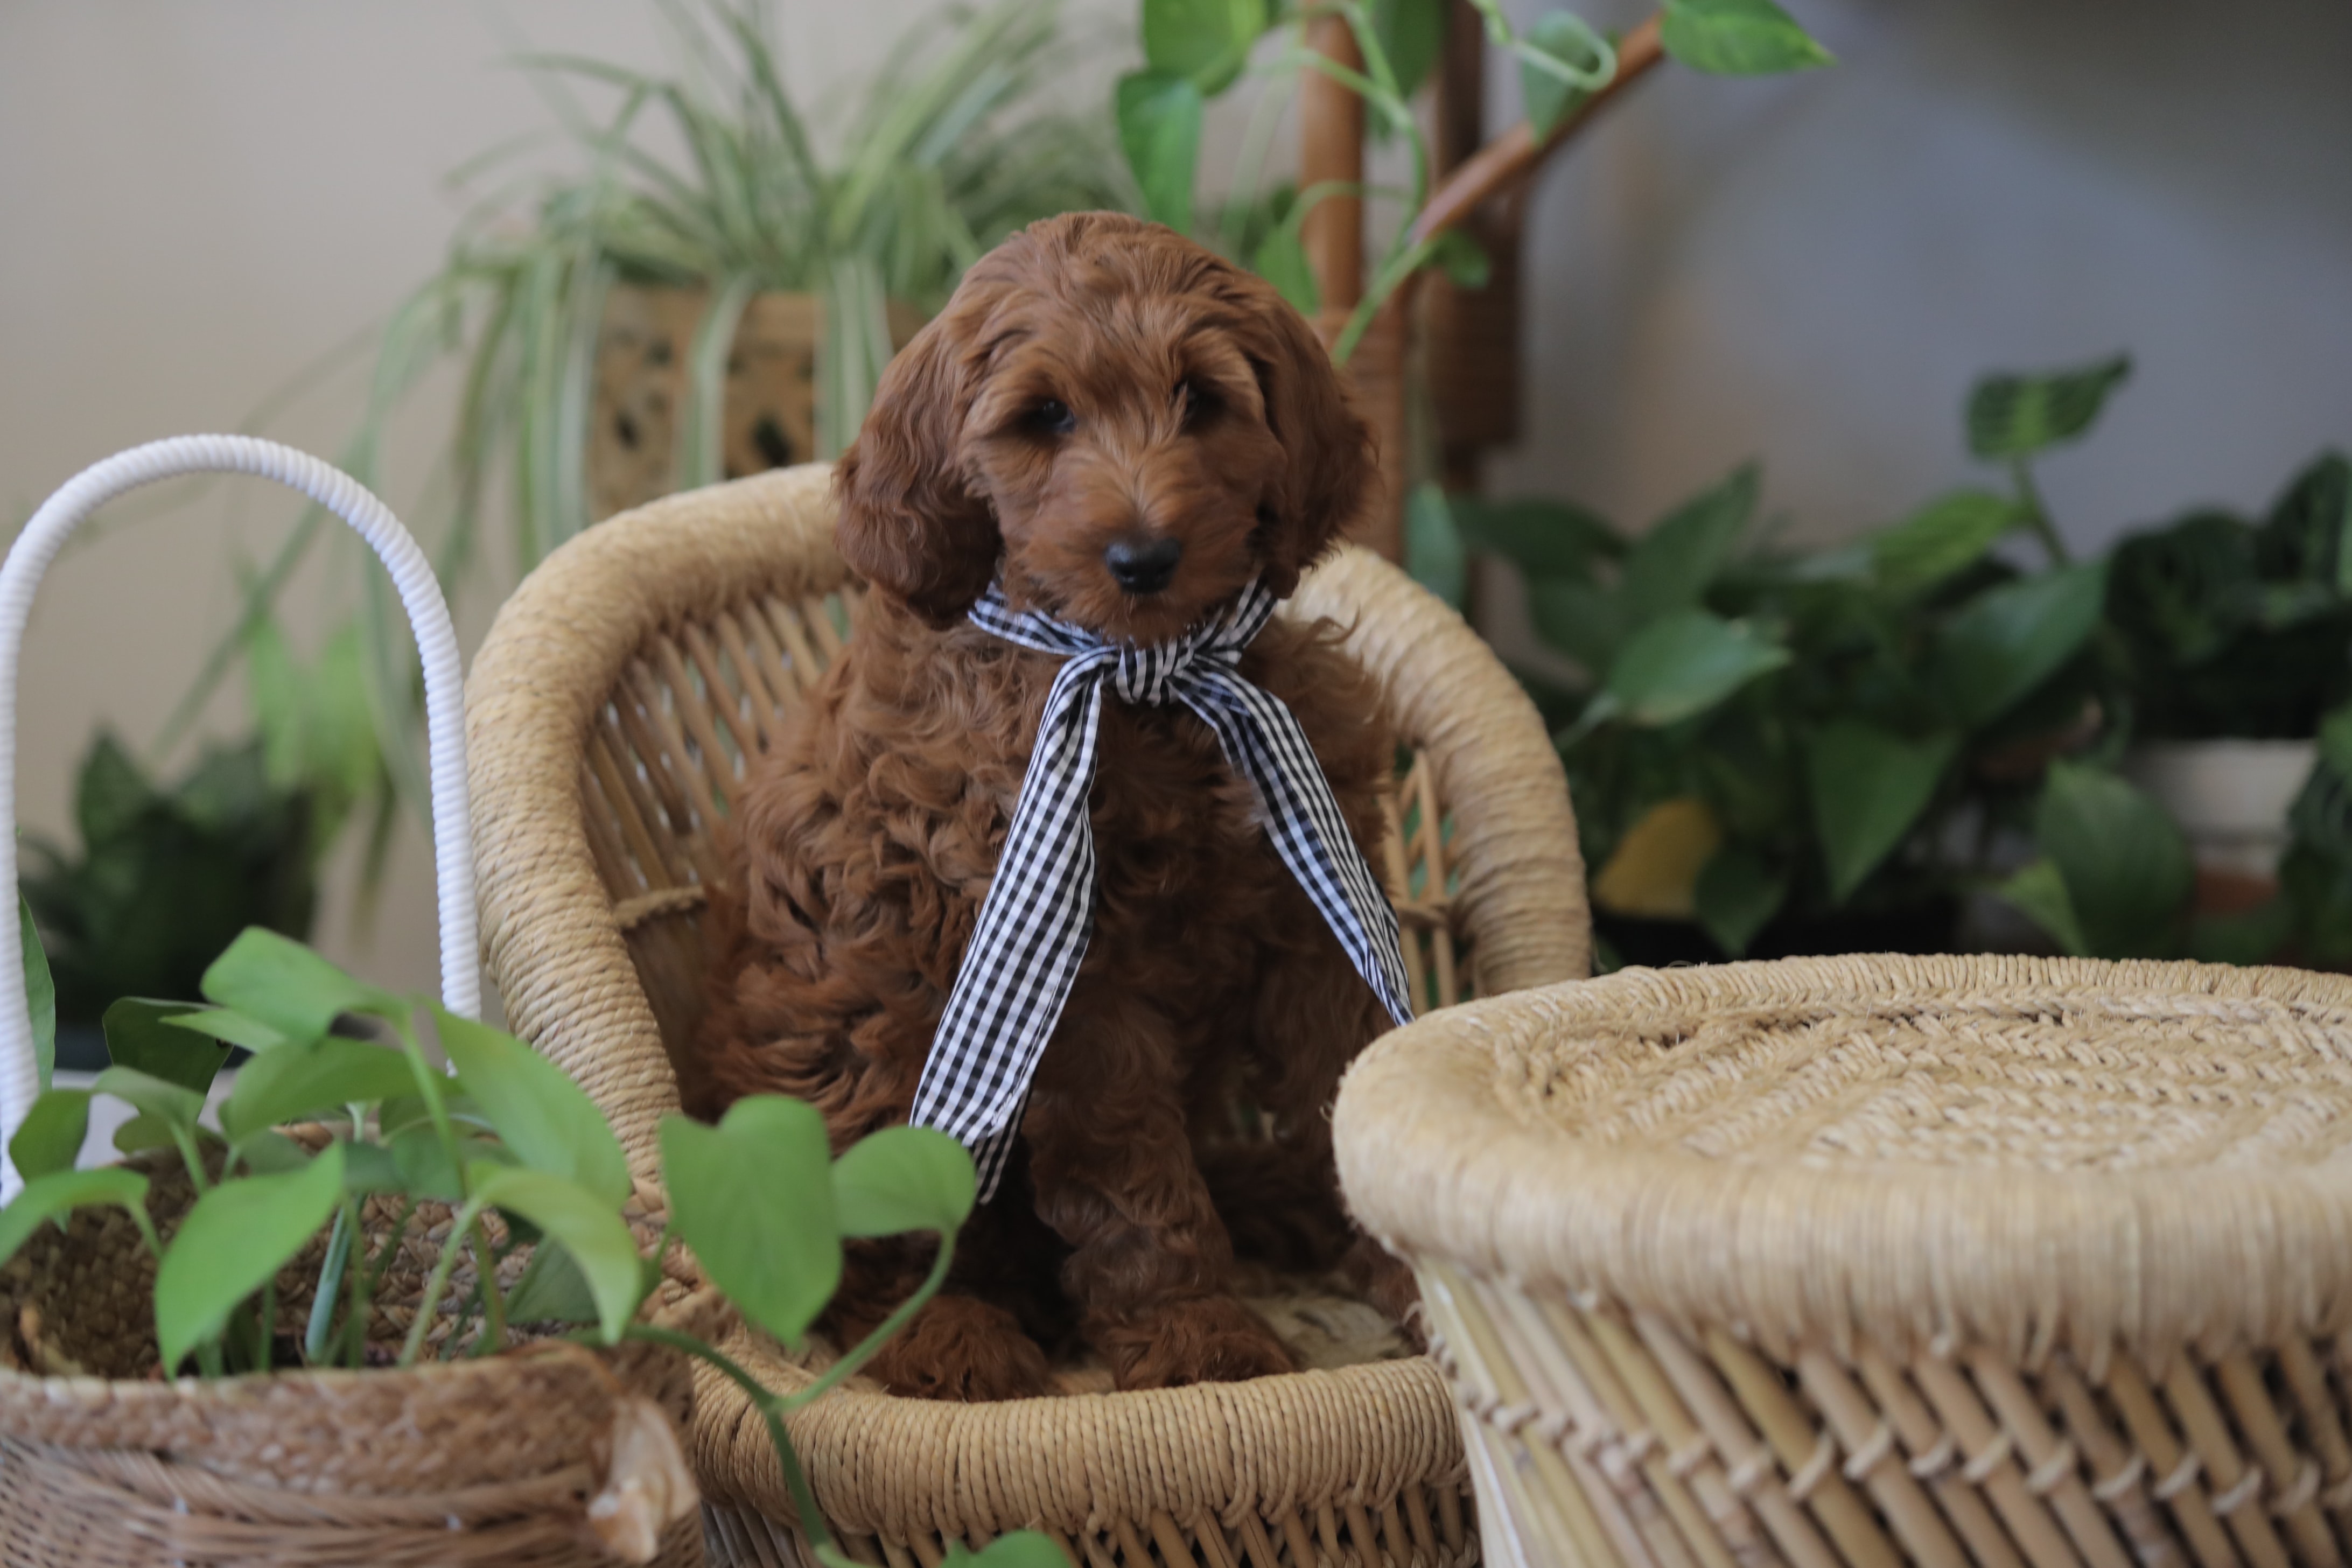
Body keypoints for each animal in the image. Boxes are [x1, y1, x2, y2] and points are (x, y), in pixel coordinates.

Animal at [687, 215, 1402, 1401]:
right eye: (1045, 418)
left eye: (1201, 400)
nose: (1144, 556)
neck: (1148, 678)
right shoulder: (1074, 970)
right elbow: (1133, 1172)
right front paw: (1194, 1334)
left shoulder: (1308, 918)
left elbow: (1349, 1077)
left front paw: (1413, 1262)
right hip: (862, 1057)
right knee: (863, 1265)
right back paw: (951, 1336)